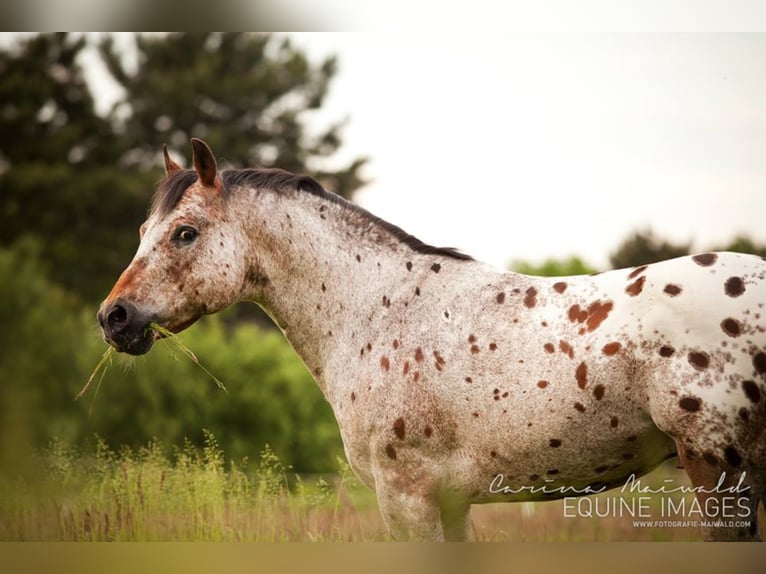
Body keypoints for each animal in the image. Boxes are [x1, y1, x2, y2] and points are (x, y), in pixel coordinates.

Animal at [97, 138, 766, 540]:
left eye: (185, 233)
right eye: (142, 230)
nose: (114, 317)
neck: (377, 311)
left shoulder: (407, 500)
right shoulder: (450, 504)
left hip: (718, 473)